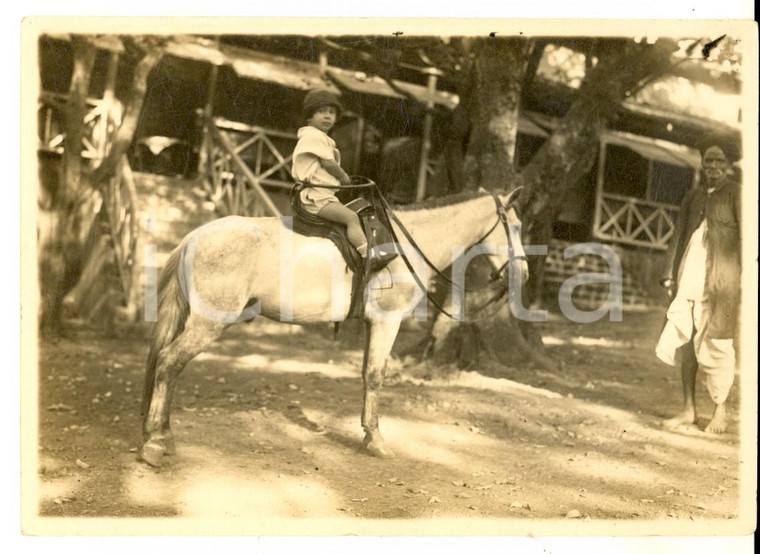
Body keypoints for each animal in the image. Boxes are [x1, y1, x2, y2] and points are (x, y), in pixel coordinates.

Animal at [140, 188, 524, 464]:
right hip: (209, 323)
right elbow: (376, 376)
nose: (524, 271)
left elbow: (367, 373)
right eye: (517, 227)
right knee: (170, 362)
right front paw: (377, 440)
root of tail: (194, 237)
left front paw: (368, 434)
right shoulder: (387, 321)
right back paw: (155, 442)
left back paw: (163, 435)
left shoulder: (371, 323)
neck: (405, 243)